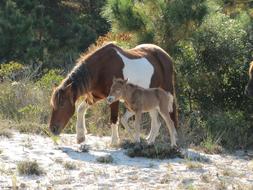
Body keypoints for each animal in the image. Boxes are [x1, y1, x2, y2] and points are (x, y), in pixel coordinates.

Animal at [49, 42, 178, 145]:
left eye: (62, 104)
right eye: (53, 105)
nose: (52, 129)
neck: (101, 68)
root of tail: (166, 55)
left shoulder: (113, 99)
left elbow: (114, 119)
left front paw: (114, 141)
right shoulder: (96, 97)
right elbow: (80, 109)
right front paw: (80, 136)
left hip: (167, 90)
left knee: (170, 117)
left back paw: (173, 139)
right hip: (151, 100)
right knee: (156, 122)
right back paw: (150, 140)